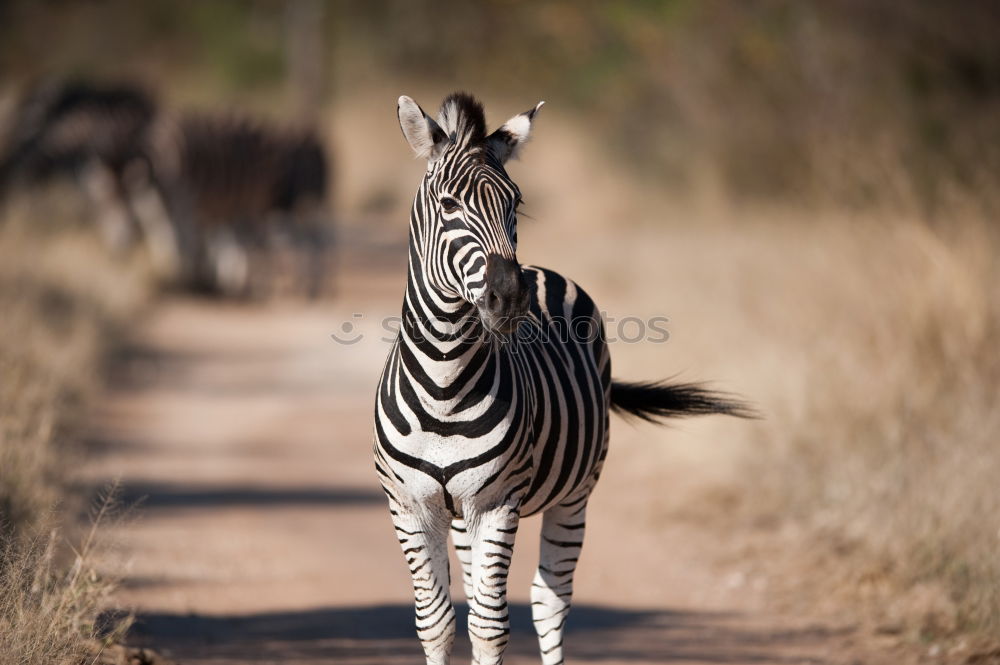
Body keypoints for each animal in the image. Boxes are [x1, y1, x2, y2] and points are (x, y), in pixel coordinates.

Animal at [0, 79, 336, 296]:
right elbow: (164, 235)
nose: (117, 255)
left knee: (306, 238)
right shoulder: (153, 198)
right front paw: (177, 276)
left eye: (123, 200)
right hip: (252, 202)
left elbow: (178, 237)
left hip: (283, 201)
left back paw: (301, 286)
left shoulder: (180, 196)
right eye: (103, 204)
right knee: (257, 237)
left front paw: (185, 280)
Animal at [376, 92, 752, 664]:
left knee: (549, 600)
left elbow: (490, 625)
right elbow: (436, 622)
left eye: (515, 203)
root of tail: (541, 271)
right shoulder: (411, 505)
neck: (444, 384)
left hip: (576, 493)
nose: (509, 299)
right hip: (462, 515)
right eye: (448, 205)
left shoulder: (498, 501)